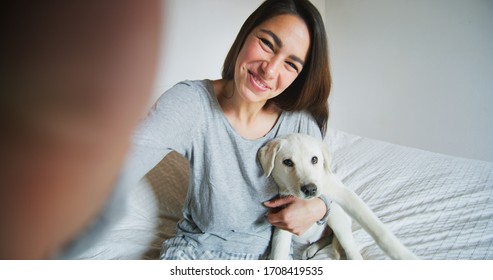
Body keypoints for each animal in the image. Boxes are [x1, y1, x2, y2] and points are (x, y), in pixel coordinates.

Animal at [258, 133, 418, 260]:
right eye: (288, 162)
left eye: (314, 159)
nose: (310, 189)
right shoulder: (284, 218)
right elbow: (279, 253)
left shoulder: (344, 194)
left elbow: (380, 231)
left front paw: (404, 255)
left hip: (336, 216)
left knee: (349, 248)